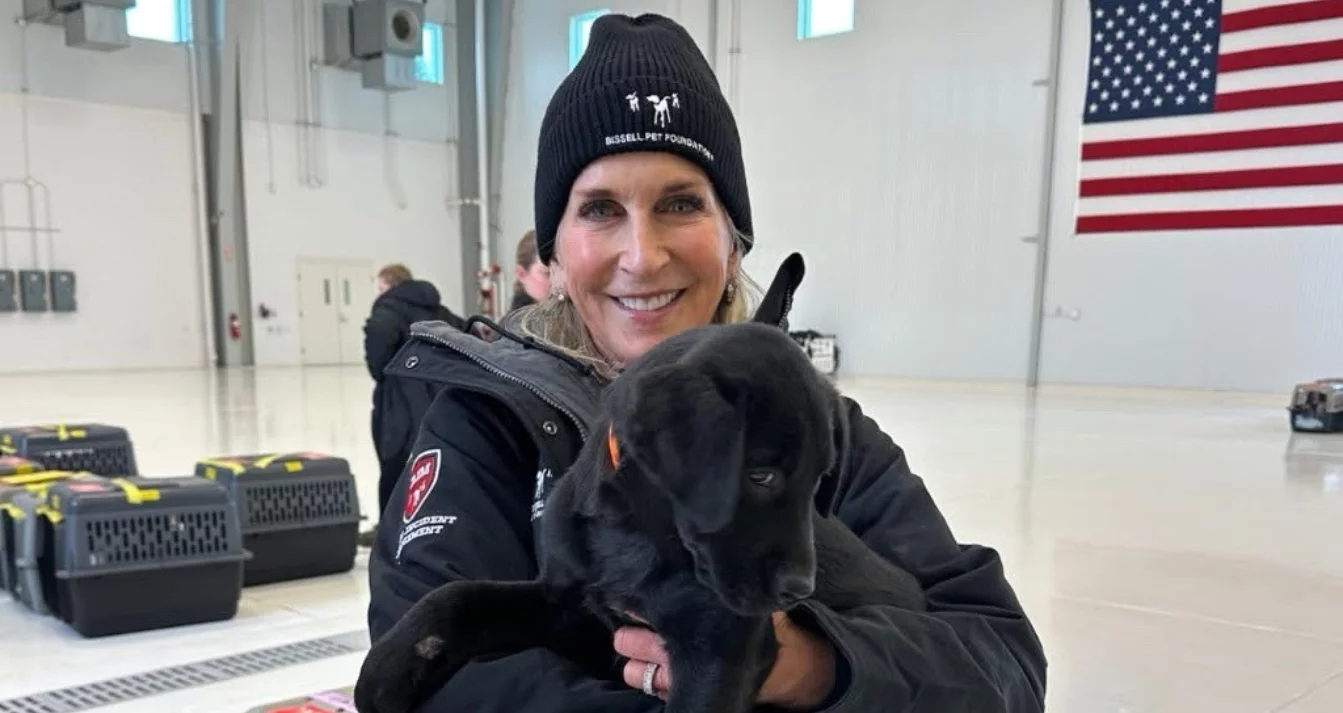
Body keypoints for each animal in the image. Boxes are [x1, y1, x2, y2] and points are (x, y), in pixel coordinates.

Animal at [351, 322, 929, 713]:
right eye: (761, 475)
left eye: (820, 480)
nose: (798, 591)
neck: (640, 531)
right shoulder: (568, 607)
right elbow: (455, 594)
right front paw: (386, 669)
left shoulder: (721, 648)